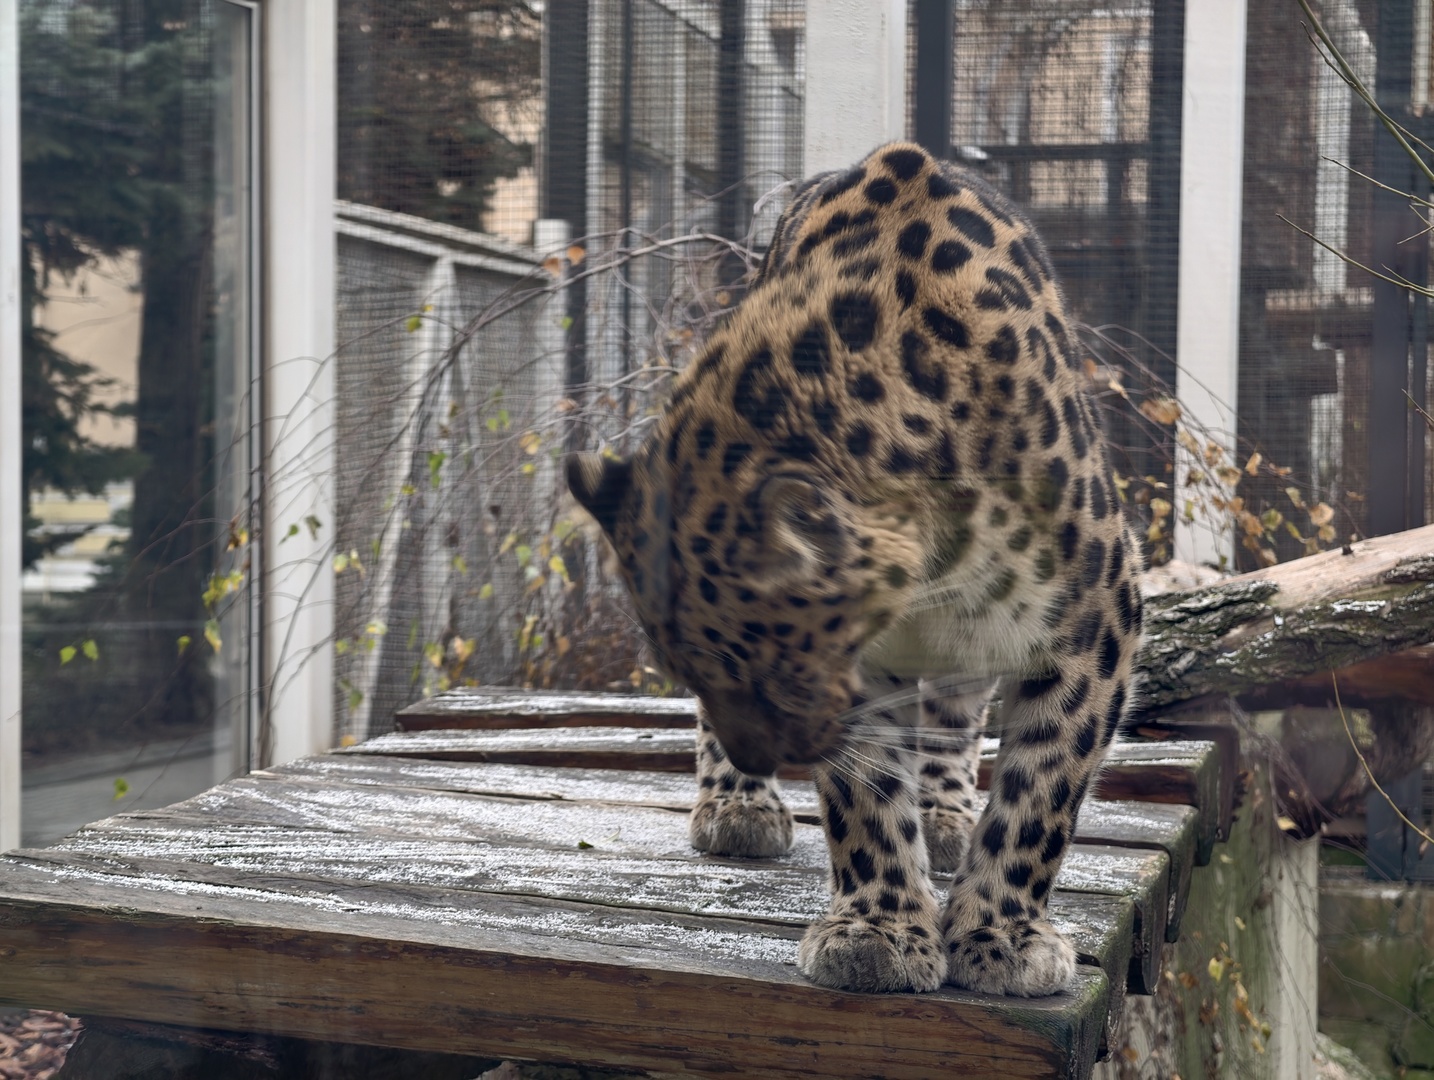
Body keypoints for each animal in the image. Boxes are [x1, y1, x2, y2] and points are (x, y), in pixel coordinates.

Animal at [567, 141, 1144, 998]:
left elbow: (1041, 789)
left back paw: (943, 816)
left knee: (956, 716)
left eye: (770, 668)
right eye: (699, 668)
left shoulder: (1097, 618)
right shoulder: (863, 667)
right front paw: (879, 932)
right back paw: (738, 805)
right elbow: (867, 793)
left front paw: (1003, 933)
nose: (760, 755)